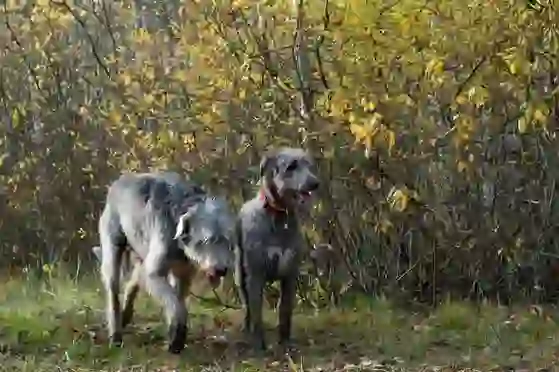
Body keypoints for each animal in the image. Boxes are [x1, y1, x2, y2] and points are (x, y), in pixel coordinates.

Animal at [97, 171, 235, 352]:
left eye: (228, 241)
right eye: (206, 240)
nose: (221, 270)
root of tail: (119, 181)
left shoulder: (183, 274)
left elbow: (179, 301)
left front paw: (174, 337)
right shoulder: (155, 274)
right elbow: (175, 304)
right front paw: (177, 335)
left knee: (134, 281)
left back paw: (126, 315)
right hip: (114, 246)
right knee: (113, 288)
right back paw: (115, 335)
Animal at [234, 147, 320, 352]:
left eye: (309, 165)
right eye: (291, 166)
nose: (315, 183)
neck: (279, 218)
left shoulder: (290, 274)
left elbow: (285, 310)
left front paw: (285, 342)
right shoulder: (255, 275)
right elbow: (257, 314)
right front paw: (259, 345)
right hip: (240, 274)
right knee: (247, 306)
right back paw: (246, 329)